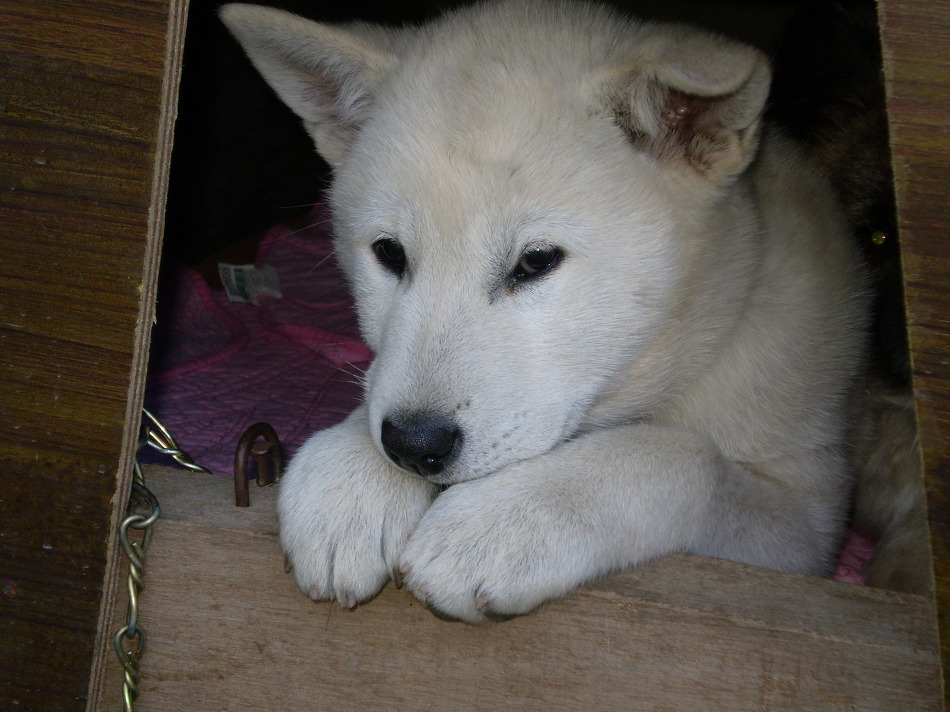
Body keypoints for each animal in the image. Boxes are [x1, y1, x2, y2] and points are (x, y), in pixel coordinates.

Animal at [221, 0, 869, 622]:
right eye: (388, 253)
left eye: (535, 262)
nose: (411, 446)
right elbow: (378, 386)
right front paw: (351, 475)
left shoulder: (806, 519)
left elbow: (684, 458)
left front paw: (510, 518)